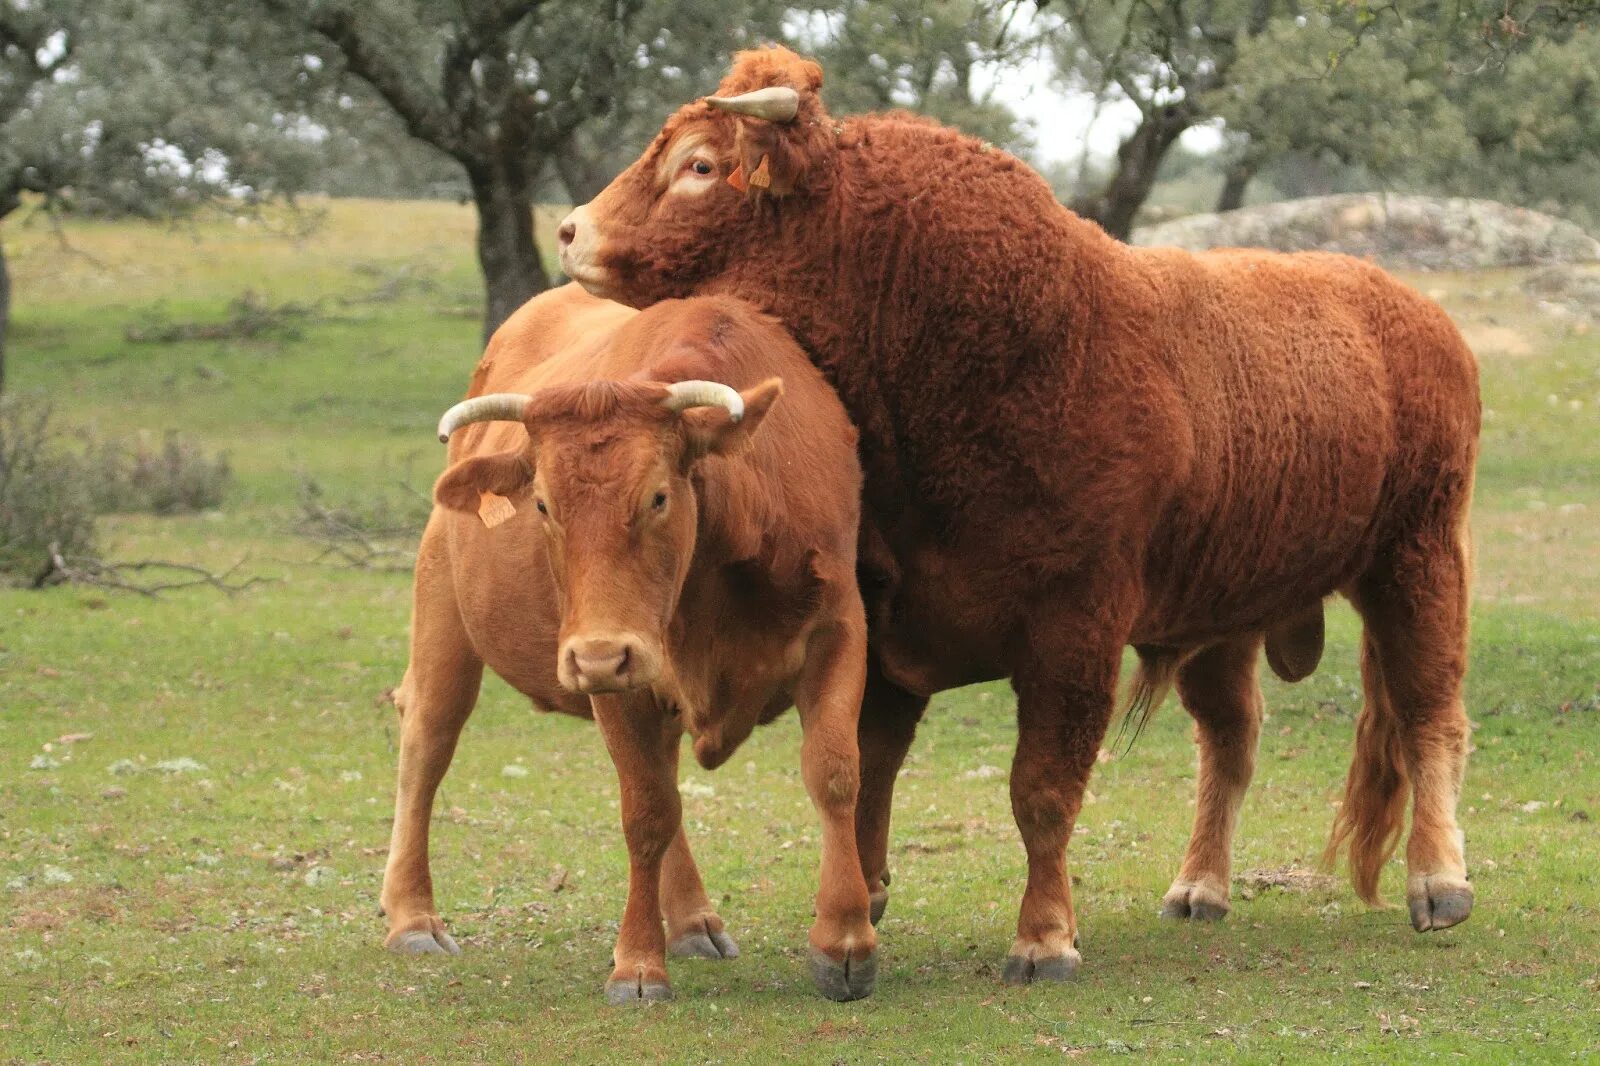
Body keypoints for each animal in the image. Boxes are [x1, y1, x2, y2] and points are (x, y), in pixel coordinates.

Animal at [385, 280, 883, 998]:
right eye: (542, 504)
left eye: (657, 497)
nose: (597, 655)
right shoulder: (618, 680)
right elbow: (646, 812)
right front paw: (639, 962)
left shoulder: (838, 629)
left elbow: (836, 772)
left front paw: (845, 940)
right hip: (447, 618)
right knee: (427, 743)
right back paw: (412, 917)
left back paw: (694, 919)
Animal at [563, 47, 1484, 979]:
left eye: (699, 166)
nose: (571, 229)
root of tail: (1412, 308)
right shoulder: (888, 624)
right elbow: (868, 765)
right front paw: (866, 895)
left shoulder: (1075, 628)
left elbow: (1041, 791)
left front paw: (1044, 936)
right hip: (1225, 611)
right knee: (1232, 738)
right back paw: (1201, 886)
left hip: (1419, 557)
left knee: (1429, 712)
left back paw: (1439, 880)